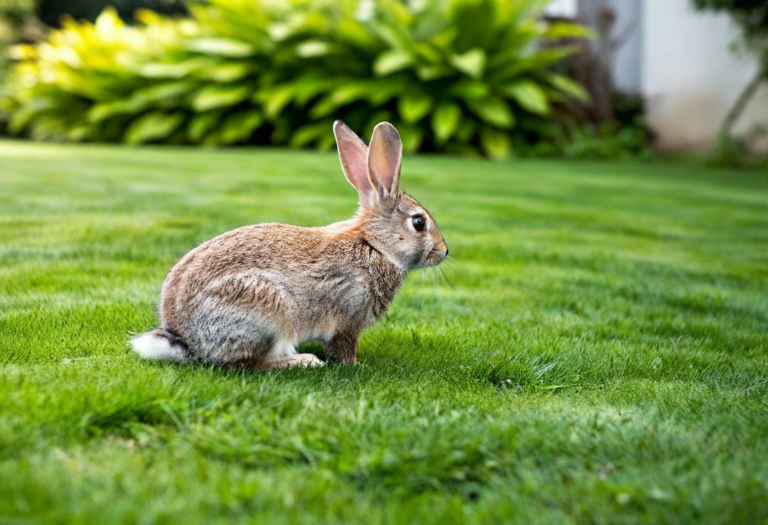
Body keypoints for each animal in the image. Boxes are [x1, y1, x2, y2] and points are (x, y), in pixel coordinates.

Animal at [129, 122, 448, 368]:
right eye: (419, 223)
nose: (444, 251)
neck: (375, 245)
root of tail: (185, 341)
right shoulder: (348, 318)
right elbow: (343, 349)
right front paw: (357, 365)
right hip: (269, 310)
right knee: (246, 365)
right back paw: (303, 361)